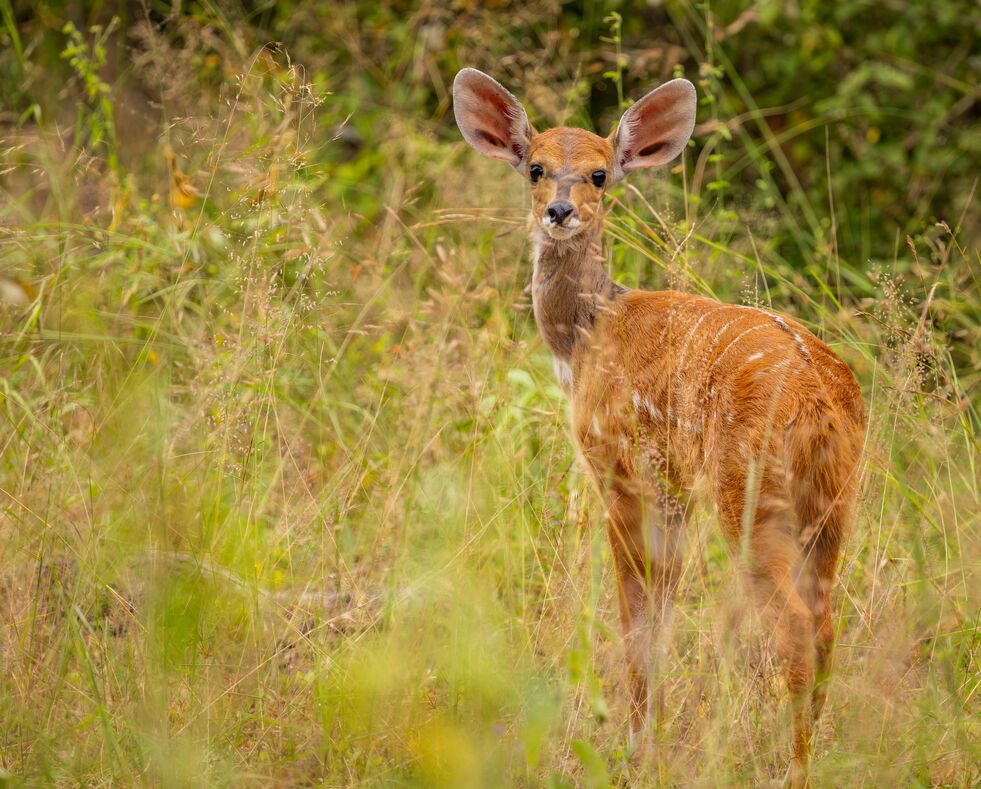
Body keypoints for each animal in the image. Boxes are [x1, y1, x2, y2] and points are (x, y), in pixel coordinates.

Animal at [452, 68, 865, 786]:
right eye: (535, 167)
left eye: (599, 174)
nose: (559, 211)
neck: (587, 334)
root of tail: (822, 399)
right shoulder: (674, 489)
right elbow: (663, 621)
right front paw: (652, 739)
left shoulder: (621, 470)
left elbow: (635, 623)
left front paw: (636, 749)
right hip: (832, 503)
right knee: (824, 622)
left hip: (748, 490)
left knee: (791, 625)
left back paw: (793, 770)